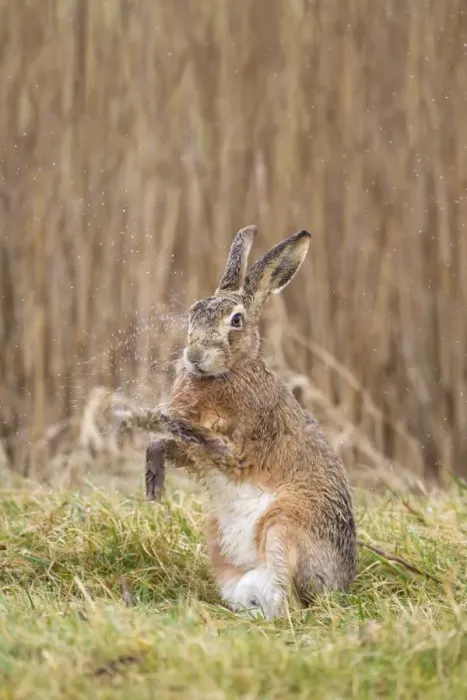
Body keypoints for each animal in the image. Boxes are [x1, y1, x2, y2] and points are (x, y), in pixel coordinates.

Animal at [143, 225, 357, 618]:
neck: (231, 370)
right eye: (194, 313)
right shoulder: (196, 456)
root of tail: (338, 586)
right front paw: (153, 482)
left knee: (290, 604)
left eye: (236, 320)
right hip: (219, 543)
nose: (194, 356)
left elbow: (211, 440)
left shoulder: (241, 447)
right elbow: (168, 445)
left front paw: (166, 414)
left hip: (284, 527)